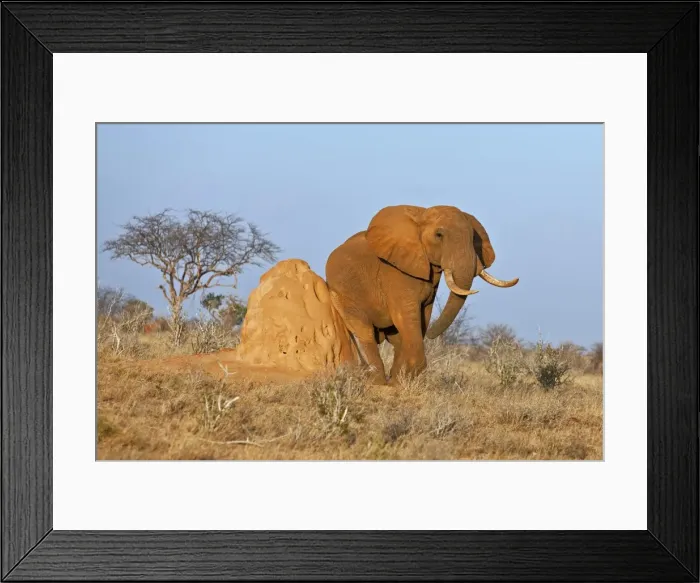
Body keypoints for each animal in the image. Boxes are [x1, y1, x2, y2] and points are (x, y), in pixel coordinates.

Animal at [325, 204, 518, 385]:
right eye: (439, 235)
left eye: (473, 239)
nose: (433, 335)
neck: (421, 214)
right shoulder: (394, 272)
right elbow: (405, 315)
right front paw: (403, 379)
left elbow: (423, 315)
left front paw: (401, 379)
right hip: (343, 295)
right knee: (364, 331)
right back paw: (377, 381)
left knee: (394, 338)